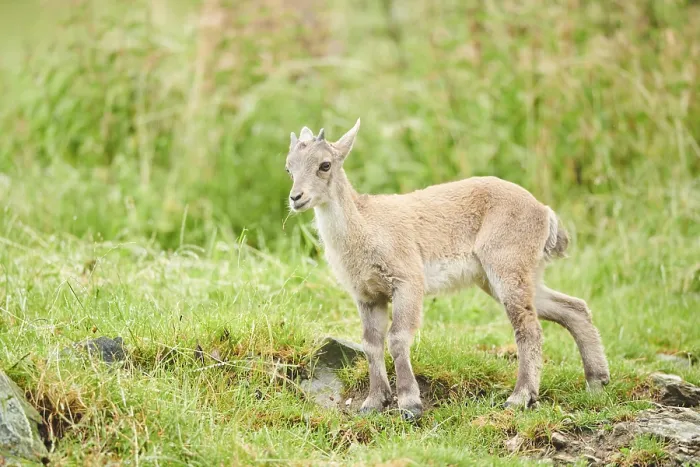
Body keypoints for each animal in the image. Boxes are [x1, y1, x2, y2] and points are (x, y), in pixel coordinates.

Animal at [285, 119, 610, 419]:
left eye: (325, 164)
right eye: (289, 168)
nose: (296, 197)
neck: (365, 228)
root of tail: (544, 212)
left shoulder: (407, 281)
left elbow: (398, 337)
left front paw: (410, 404)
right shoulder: (367, 294)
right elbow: (371, 343)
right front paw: (373, 403)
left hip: (507, 267)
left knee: (528, 327)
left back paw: (519, 398)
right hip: (505, 277)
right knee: (573, 307)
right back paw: (597, 382)